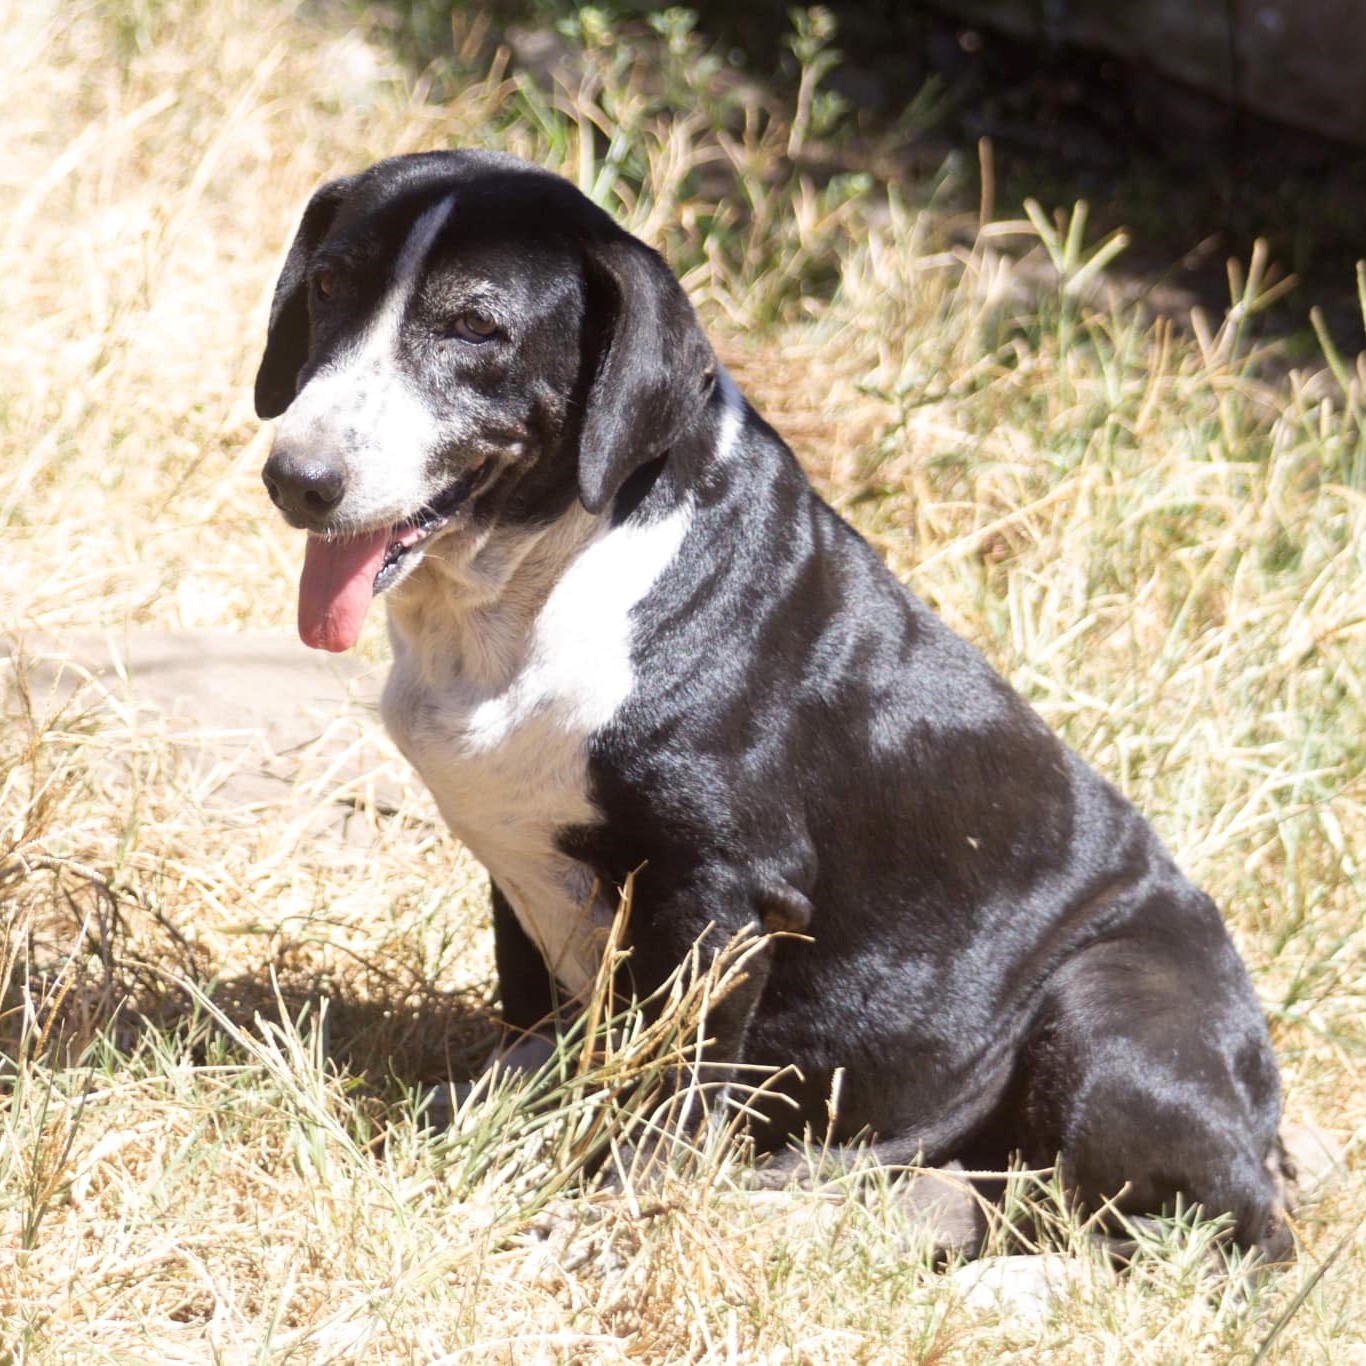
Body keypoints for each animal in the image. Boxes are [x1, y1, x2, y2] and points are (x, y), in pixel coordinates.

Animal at [256, 149, 1289, 1256]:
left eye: (475, 328)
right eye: (329, 285)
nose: (298, 478)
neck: (553, 580)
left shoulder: (725, 895)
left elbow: (671, 1084)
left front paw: (613, 1209)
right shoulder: (517, 859)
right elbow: (537, 1015)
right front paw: (508, 1106)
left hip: (1107, 998)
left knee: (1196, 1231)